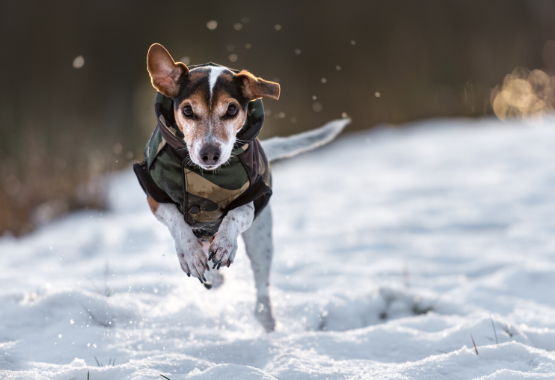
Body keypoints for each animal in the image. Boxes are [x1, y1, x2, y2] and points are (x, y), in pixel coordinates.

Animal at [135, 43, 350, 332]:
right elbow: (176, 220)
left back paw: (265, 316)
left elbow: (236, 215)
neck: (204, 176)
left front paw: (226, 244)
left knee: (261, 285)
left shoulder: (254, 197)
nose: (209, 154)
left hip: (261, 240)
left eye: (232, 110)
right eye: (188, 111)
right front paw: (190, 253)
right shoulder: (155, 197)